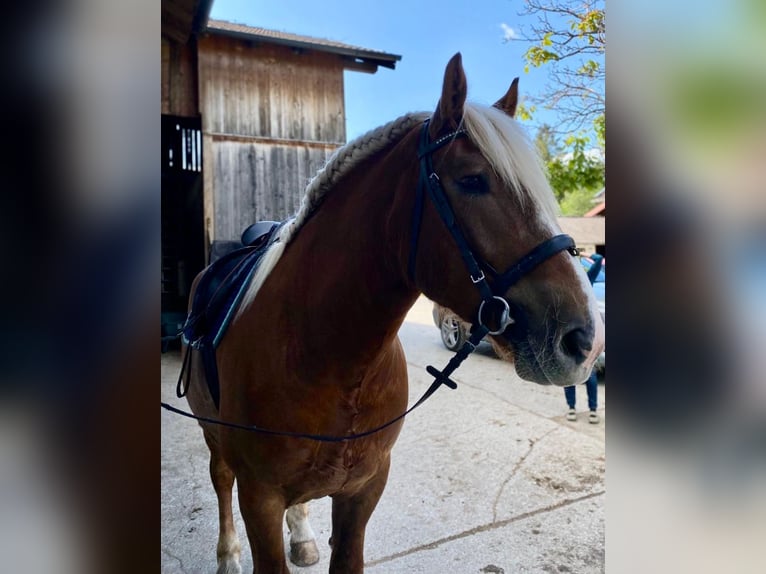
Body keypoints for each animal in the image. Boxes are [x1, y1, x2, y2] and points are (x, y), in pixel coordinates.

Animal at [181, 53, 605, 574]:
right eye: (472, 180)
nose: (586, 340)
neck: (324, 358)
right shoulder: (258, 498)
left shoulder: (363, 491)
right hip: (213, 436)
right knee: (220, 477)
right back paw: (227, 555)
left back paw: (301, 535)